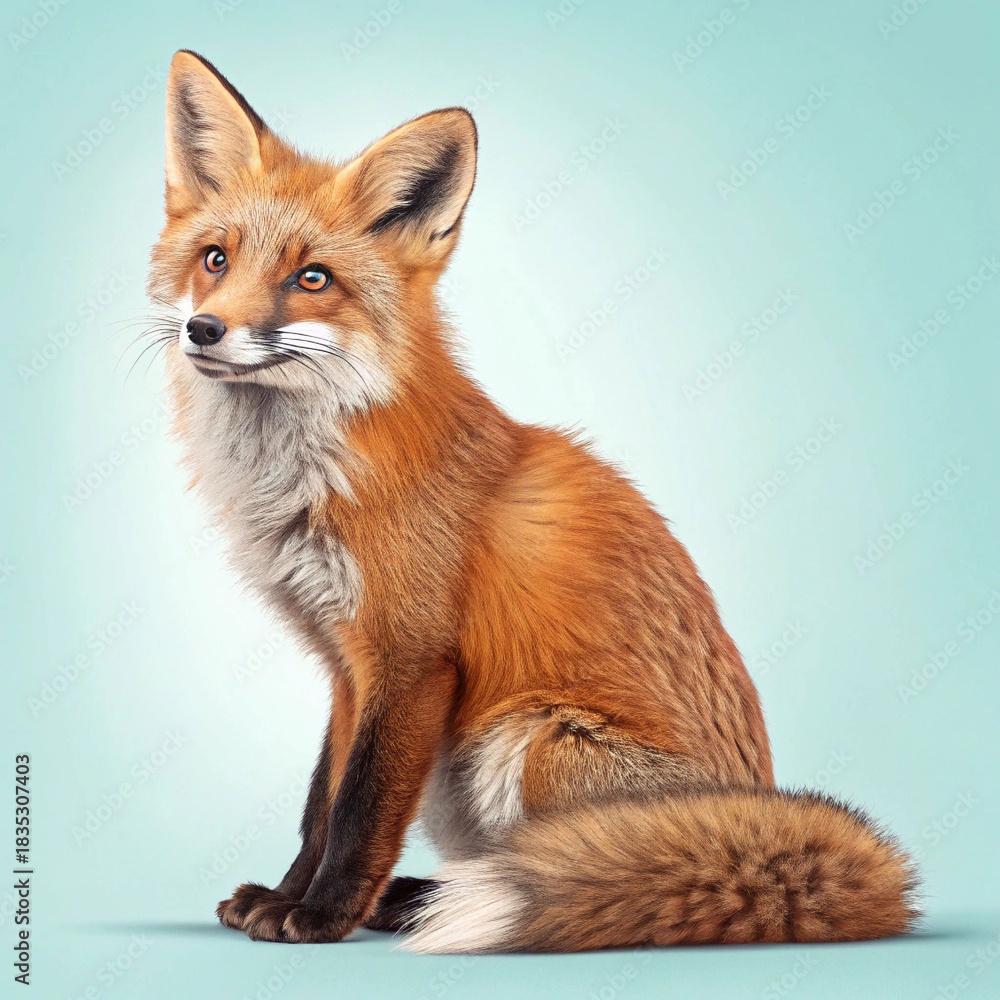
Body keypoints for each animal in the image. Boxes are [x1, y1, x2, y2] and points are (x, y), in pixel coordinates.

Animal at [147, 50, 918, 952]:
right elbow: (319, 804)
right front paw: (285, 895)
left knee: (595, 876)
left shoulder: (410, 659)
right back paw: (418, 901)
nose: (205, 329)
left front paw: (324, 912)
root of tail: (755, 801)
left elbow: (361, 807)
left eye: (312, 279)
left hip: (527, 736)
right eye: (215, 259)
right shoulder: (345, 665)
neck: (306, 480)